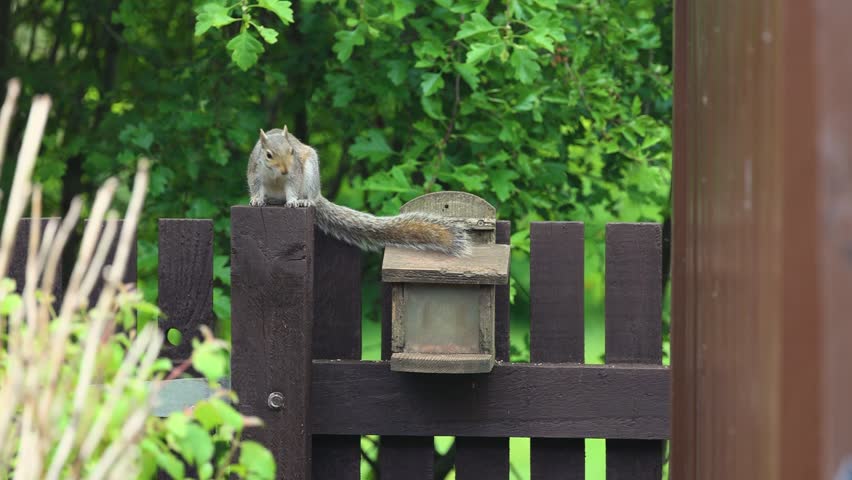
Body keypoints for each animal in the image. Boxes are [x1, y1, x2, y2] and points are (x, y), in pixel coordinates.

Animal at [247, 126, 471, 256]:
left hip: (310, 172)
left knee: (310, 195)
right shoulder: (255, 172)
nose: (285, 169)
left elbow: (292, 187)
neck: (277, 176)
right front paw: (256, 200)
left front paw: (293, 201)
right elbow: (255, 187)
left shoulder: (295, 173)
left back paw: (306, 201)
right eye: (268, 155)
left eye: (292, 151)